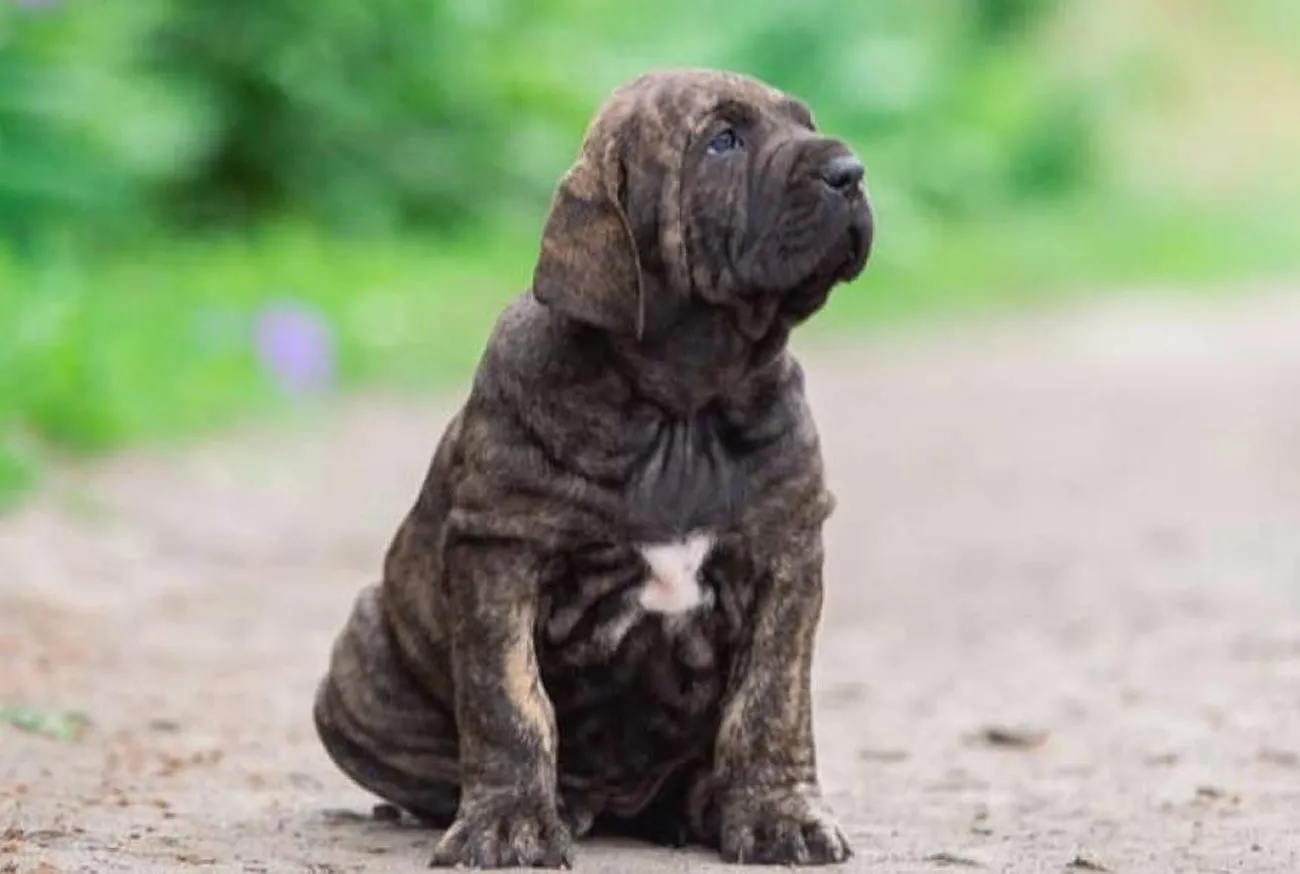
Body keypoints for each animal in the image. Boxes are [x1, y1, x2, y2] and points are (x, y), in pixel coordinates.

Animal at [313, 66, 873, 868]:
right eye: (723, 141)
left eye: (805, 123)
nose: (850, 173)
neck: (682, 406)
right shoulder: (500, 555)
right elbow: (509, 703)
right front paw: (508, 823)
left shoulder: (787, 552)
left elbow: (772, 702)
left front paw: (779, 814)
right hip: (357, 658)